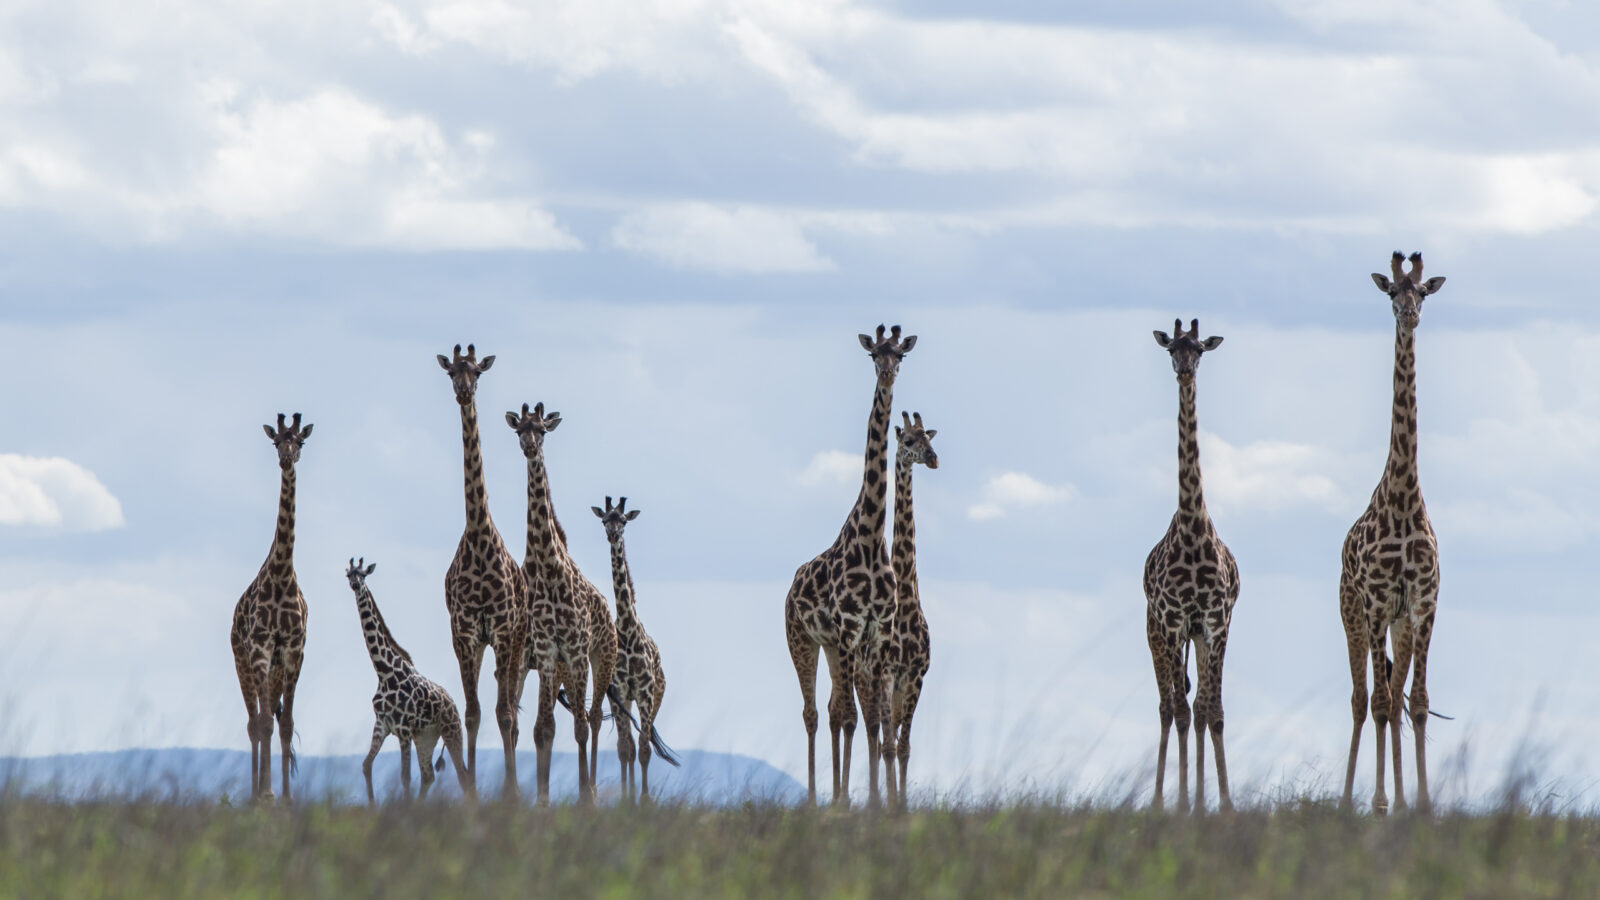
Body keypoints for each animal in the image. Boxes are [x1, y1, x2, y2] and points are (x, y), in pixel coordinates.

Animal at [346, 558, 475, 805]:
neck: (384, 672)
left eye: (363, 575)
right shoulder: (382, 724)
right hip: (426, 737)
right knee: (428, 776)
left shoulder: (403, 729)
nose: (355, 585)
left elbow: (404, 776)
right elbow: (366, 765)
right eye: (349, 574)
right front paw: (373, 806)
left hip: (452, 731)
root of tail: (453, 703)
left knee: (463, 775)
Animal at [506, 401, 623, 805]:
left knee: (593, 716)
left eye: (542, 429)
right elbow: (543, 728)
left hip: (601, 658)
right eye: (519, 429)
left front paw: (585, 797)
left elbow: (580, 727)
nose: (529, 446)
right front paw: (541, 800)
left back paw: (592, 789)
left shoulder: (573, 650)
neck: (547, 567)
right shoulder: (545, 652)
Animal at [592, 496, 678, 803]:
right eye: (605, 519)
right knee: (625, 743)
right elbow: (625, 748)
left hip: (653, 699)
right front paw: (628, 799)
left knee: (641, 741)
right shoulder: (619, 692)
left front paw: (644, 800)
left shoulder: (645, 693)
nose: (613, 534)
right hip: (621, 701)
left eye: (624, 521)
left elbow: (644, 748)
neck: (628, 631)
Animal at [785, 323, 915, 807]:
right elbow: (853, 717)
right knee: (814, 711)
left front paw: (879, 803)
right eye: (873, 354)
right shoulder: (847, 628)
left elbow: (874, 720)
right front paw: (851, 801)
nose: (888, 373)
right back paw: (817, 798)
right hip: (802, 638)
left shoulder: (876, 633)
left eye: (901, 354)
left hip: (830, 645)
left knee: (830, 708)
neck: (871, 537)